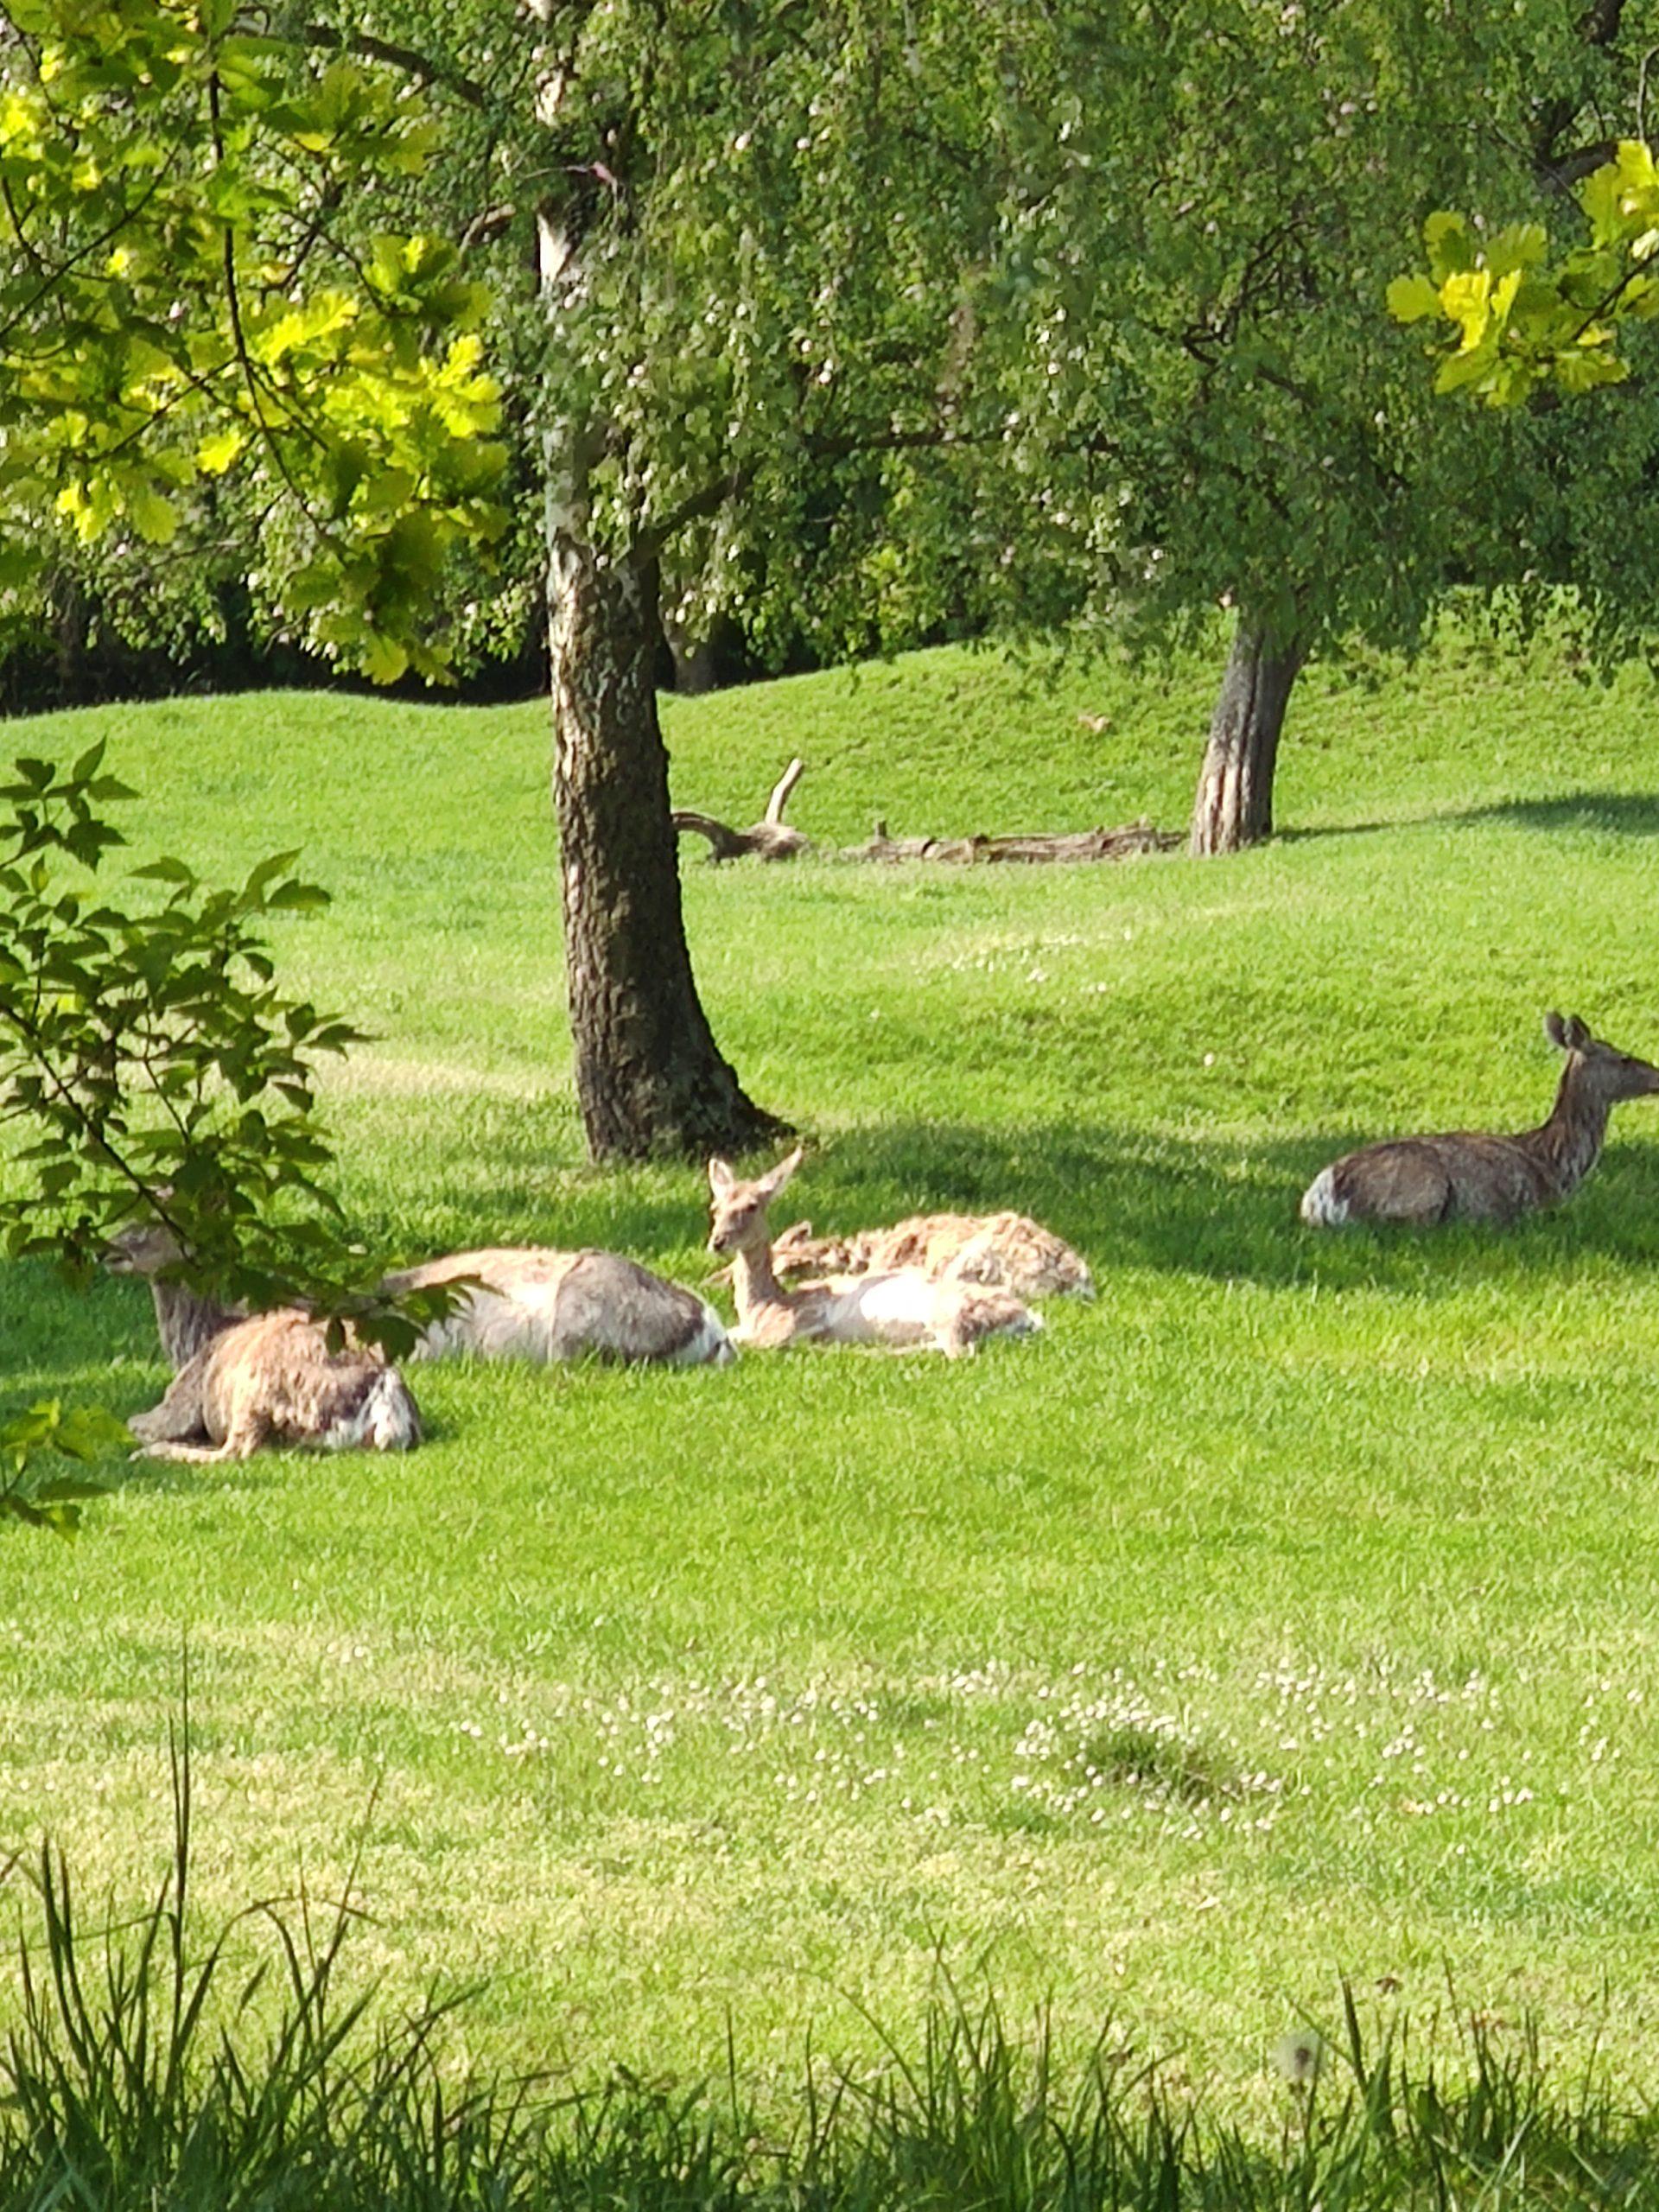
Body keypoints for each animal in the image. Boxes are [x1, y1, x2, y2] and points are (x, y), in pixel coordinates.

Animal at [708, 1150, 1044, 1353]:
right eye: (715, 1207)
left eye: (752, 1206)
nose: (717, 1241)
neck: (763, 1307)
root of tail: (1027, 1319)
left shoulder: (799, 1318)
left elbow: (763, 1341)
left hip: (949, 1314)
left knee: (959, 1352)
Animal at [1300, 1013, 1659, 1230]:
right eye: (1624, 1058)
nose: (1656, 1076)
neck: (1558, 1163)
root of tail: (1323, 1199)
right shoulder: (1541, 1206)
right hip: (1420, 1192)